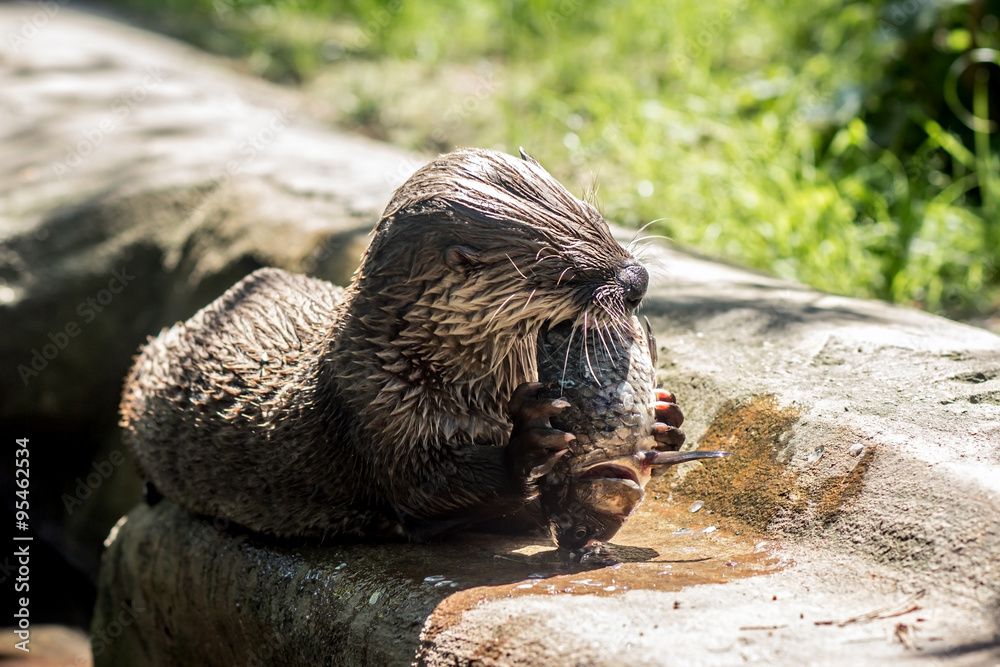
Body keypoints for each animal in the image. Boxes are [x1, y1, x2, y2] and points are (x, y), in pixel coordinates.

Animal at [120, 148, 685, 541]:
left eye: (599, 220)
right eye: (564, 269)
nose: (637, 279)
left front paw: (665, 417)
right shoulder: (378, 412)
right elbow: (423, 487)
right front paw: (526, 447)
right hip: (146, 372)